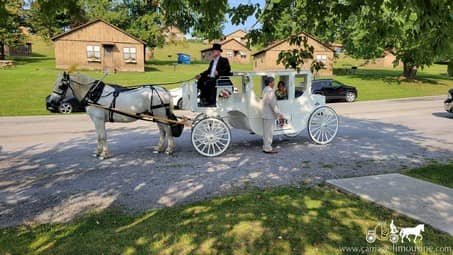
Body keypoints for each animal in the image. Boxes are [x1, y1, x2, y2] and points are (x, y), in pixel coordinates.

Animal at [47, 72, 178, 159]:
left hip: (160, 114)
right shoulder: (97, 121)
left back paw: (170, 149)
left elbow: (102, 136)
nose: (51, 102)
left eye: (61, 85)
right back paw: (159, 148)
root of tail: (162, 90)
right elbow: (99, 136)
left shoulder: (98, 119)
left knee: (168, 130)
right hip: (157, 115)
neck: (94, 94)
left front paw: (104, 154)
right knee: (162, 131)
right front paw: (98, 152)